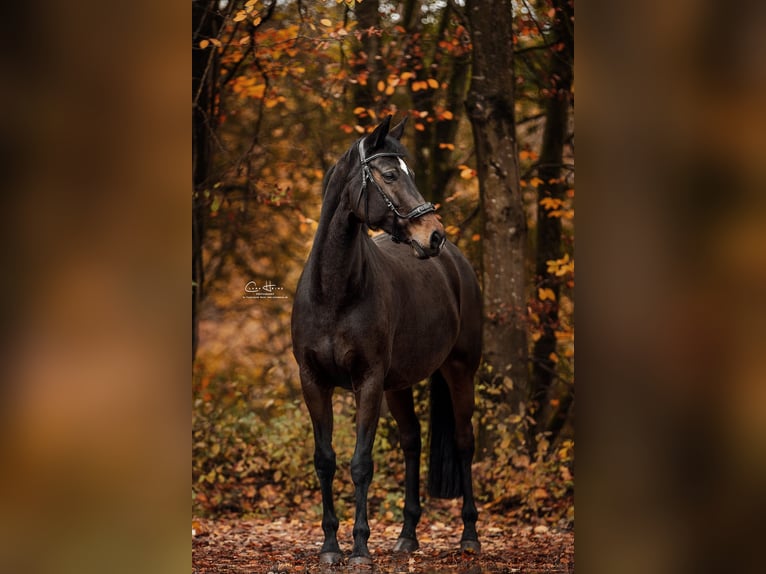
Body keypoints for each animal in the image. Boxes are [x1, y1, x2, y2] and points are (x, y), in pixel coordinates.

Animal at [291, 115, 482, 565]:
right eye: (391, 175)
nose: (434, 235)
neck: (333, 292)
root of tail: (456, 263)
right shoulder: (313, 382)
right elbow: (325, 460)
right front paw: (330, 547)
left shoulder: (369, 381)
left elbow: (361, 463)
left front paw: (360, 548)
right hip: (399, 385)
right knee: (412, 441)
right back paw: (407, 536)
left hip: (460, 371)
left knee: (464, 442)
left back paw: (469, 535)